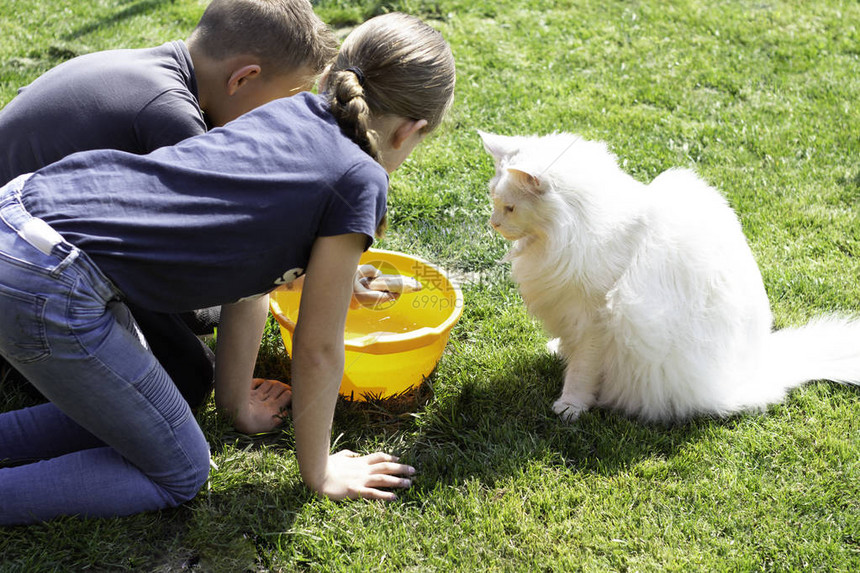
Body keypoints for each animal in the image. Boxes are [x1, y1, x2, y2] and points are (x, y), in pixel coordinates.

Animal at [478, 132, 860, 422]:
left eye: (510, 207)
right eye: (494, 201)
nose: (493, 223)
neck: (574, 228)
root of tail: (755, 372)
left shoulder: (594, 320)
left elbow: (582, 371)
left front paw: (571, 407)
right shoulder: (570, 311)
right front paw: (559, 351)